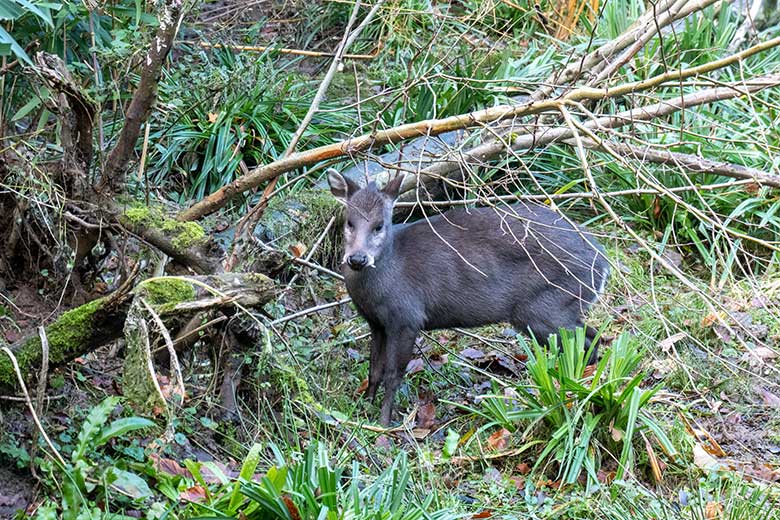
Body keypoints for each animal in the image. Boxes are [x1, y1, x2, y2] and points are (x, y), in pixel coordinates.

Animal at [326, 169, 612, 424]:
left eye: (379, 226)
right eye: (349, 223)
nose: (357, 259)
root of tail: (602, 260)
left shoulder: (407, 316)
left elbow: (392, 374)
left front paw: (383, 425)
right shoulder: (376, 322)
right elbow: (373, 370)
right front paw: (363, 410)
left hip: (548, 307)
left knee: (588, 339)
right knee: (589, 336)